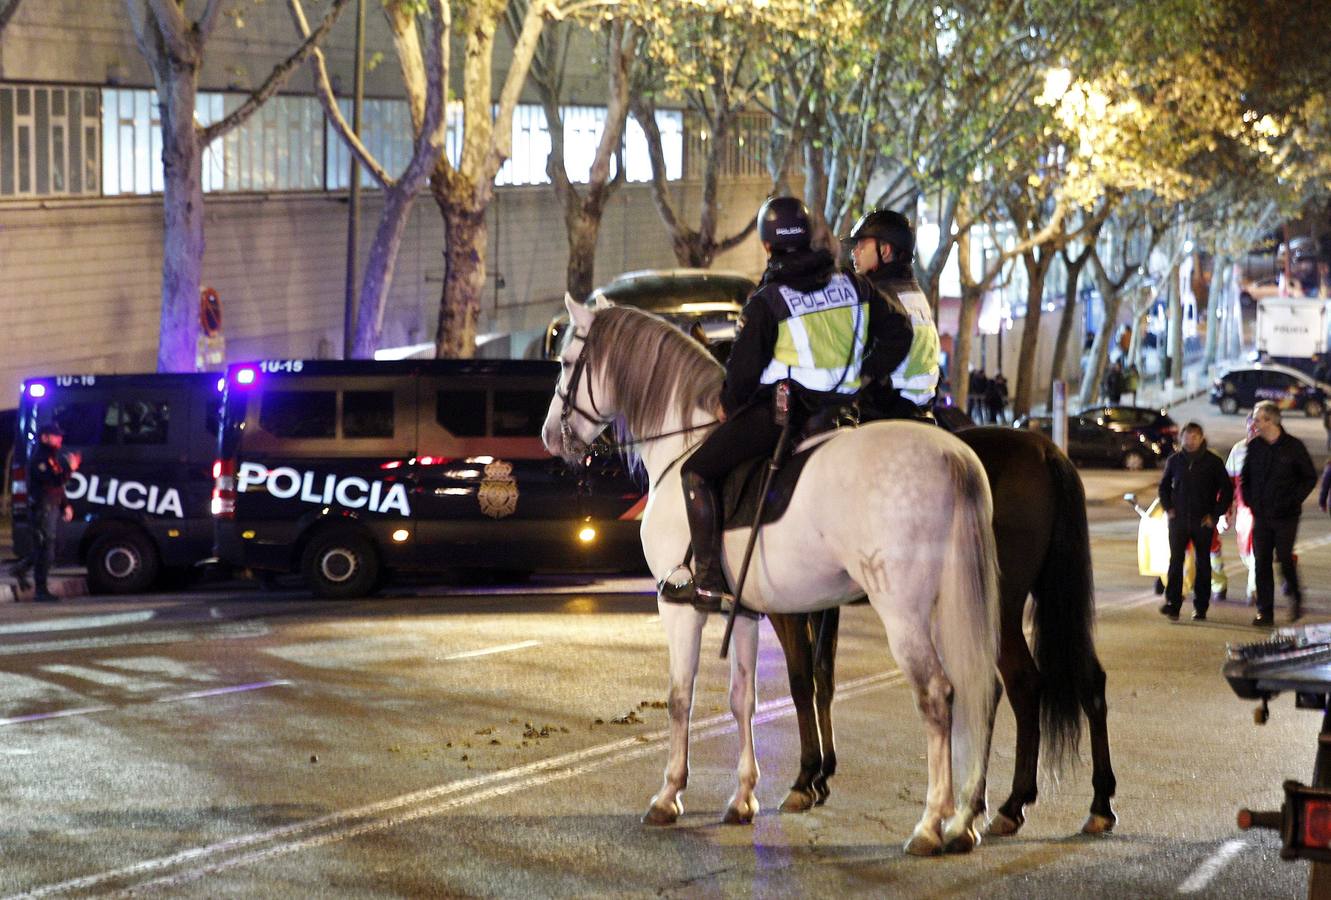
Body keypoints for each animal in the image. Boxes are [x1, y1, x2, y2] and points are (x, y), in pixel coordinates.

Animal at [543, 298, 1000, 852]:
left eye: (567, 361)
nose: (549, 436)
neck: (685, 445)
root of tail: (953, 455)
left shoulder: (679, 606)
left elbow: (680, 698)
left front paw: (669, 794)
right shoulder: (745, 612)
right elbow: (744, 699)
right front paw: (743, 797)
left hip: (905, 614)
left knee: (937, 695)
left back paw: (933, 822)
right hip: (956, 607)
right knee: (982, 687)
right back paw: (966, 819)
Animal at [766, 428, 1118, 836]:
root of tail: (1047, 450)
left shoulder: (788, 608)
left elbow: (800, 683)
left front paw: (805, 779)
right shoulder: (824, 607)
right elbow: (823, 679)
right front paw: (822, 775)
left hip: (999, 609)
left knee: (1023, 685)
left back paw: (1010, 804)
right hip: (1054, 593)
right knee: (1088, 681)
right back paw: (1097, 803)